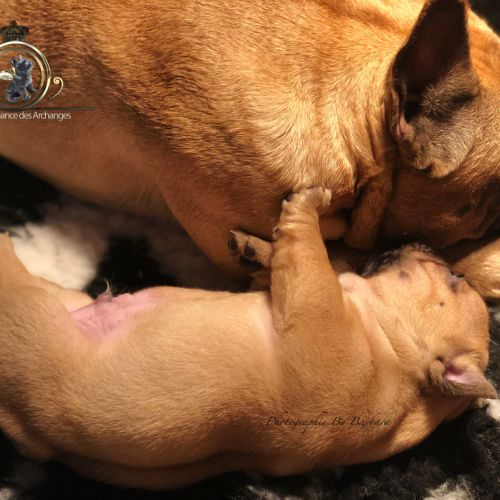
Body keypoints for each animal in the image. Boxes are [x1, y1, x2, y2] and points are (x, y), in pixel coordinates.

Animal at [0, 187, 496, 490]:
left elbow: (311, 255)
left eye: (455, 278)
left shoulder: (313, 305)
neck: (401, 358)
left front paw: (307, 209)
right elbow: (289, 266)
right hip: (56, 297)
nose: (430, 245)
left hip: (27, 306)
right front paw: (258, 248)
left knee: (10, 266)